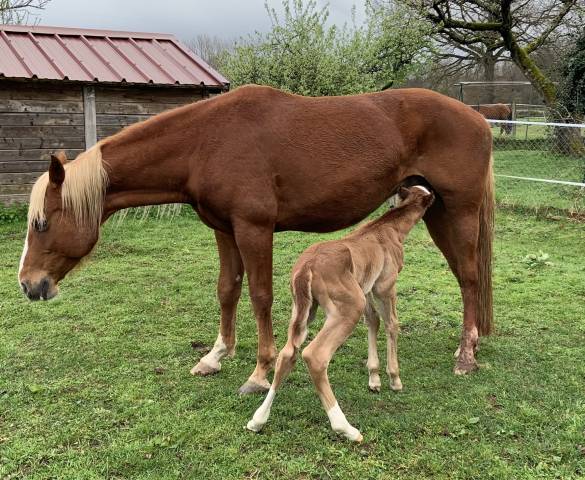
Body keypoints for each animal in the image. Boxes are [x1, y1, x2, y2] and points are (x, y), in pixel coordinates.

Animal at [246, 186, 434, 440]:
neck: (390, 229)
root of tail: (306, 268)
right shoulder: (384, 286)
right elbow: (392, 324)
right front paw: (394, 380)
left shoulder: (366, 286)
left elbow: (373, 320)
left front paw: (374, 379)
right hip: (348, 306)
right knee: (314, 355)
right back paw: (346, 428)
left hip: (304, 308)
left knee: (287, 353)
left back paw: (257, 420)